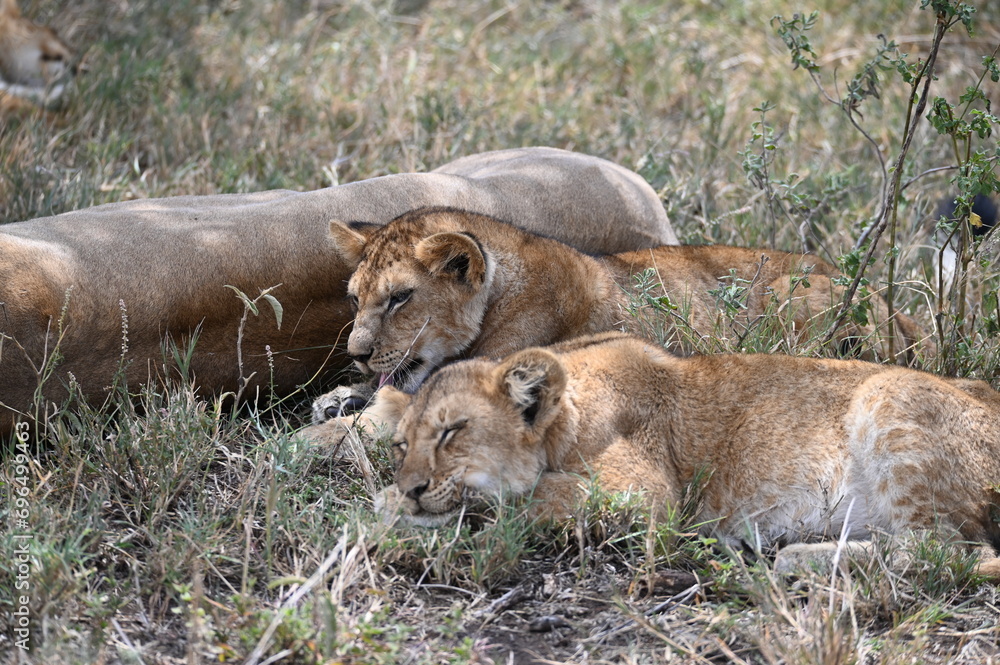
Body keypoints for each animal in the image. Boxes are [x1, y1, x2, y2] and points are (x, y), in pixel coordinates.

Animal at [309, 206, 926, 434]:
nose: (358, 354)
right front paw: (338, 397)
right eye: (356, 299)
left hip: (789, 296)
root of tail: (890, 300)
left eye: (400, 298)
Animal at [374, 332, 1000, 580]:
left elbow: (525, 499)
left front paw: (407, 518)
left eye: (452, 432)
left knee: (948, 552)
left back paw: (794, 557)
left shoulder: (647, 495)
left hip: (887, 395)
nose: (413, 487)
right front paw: (392, 504)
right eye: (403, 444)